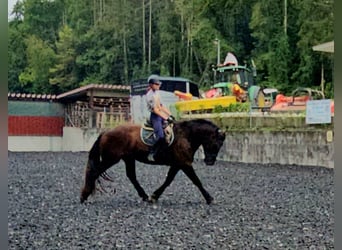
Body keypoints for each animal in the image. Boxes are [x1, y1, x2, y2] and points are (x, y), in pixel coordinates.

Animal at [79, 118, 226, 204]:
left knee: (131, 176)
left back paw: (144, 196)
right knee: (94, 172)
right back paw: (84, 196)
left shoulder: (177, 164)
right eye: (215, 144)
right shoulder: (185, 163)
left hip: (128, 159)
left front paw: (154, 196)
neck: (185, 135)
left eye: (220, 145)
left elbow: (168, 180)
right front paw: (209, 198)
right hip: (111, 159)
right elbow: (196, 181)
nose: (210, 162)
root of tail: (105, 132)